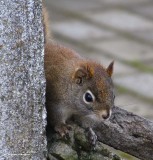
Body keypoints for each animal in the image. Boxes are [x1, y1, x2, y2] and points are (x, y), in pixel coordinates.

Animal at [43, 5, 115, 144]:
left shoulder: (83, 115)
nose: (106, 115)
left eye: (113, 95)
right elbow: (56, 118)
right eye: (88, 97)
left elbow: (84, 123)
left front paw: (91, 133)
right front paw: (62, 127)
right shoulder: (54, 103)